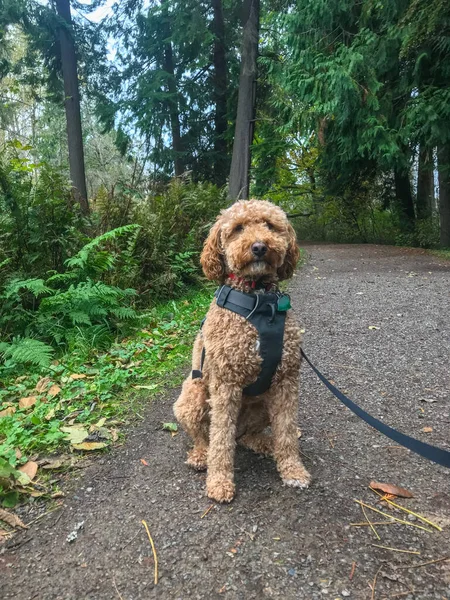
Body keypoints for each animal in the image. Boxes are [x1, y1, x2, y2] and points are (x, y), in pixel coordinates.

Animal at [172, 198, 310, 502]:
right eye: (237, 228)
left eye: (269, 225)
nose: (259, 247)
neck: (259, 302)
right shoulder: (225, 384)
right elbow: (220, 439)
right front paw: (219, 482)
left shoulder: (286, 381)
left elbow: (286, 429)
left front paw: (292, 469)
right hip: (194, 396)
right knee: (206, 436)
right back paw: (200, 456)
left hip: (262, 405)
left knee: (246, 437)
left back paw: (266, 443)